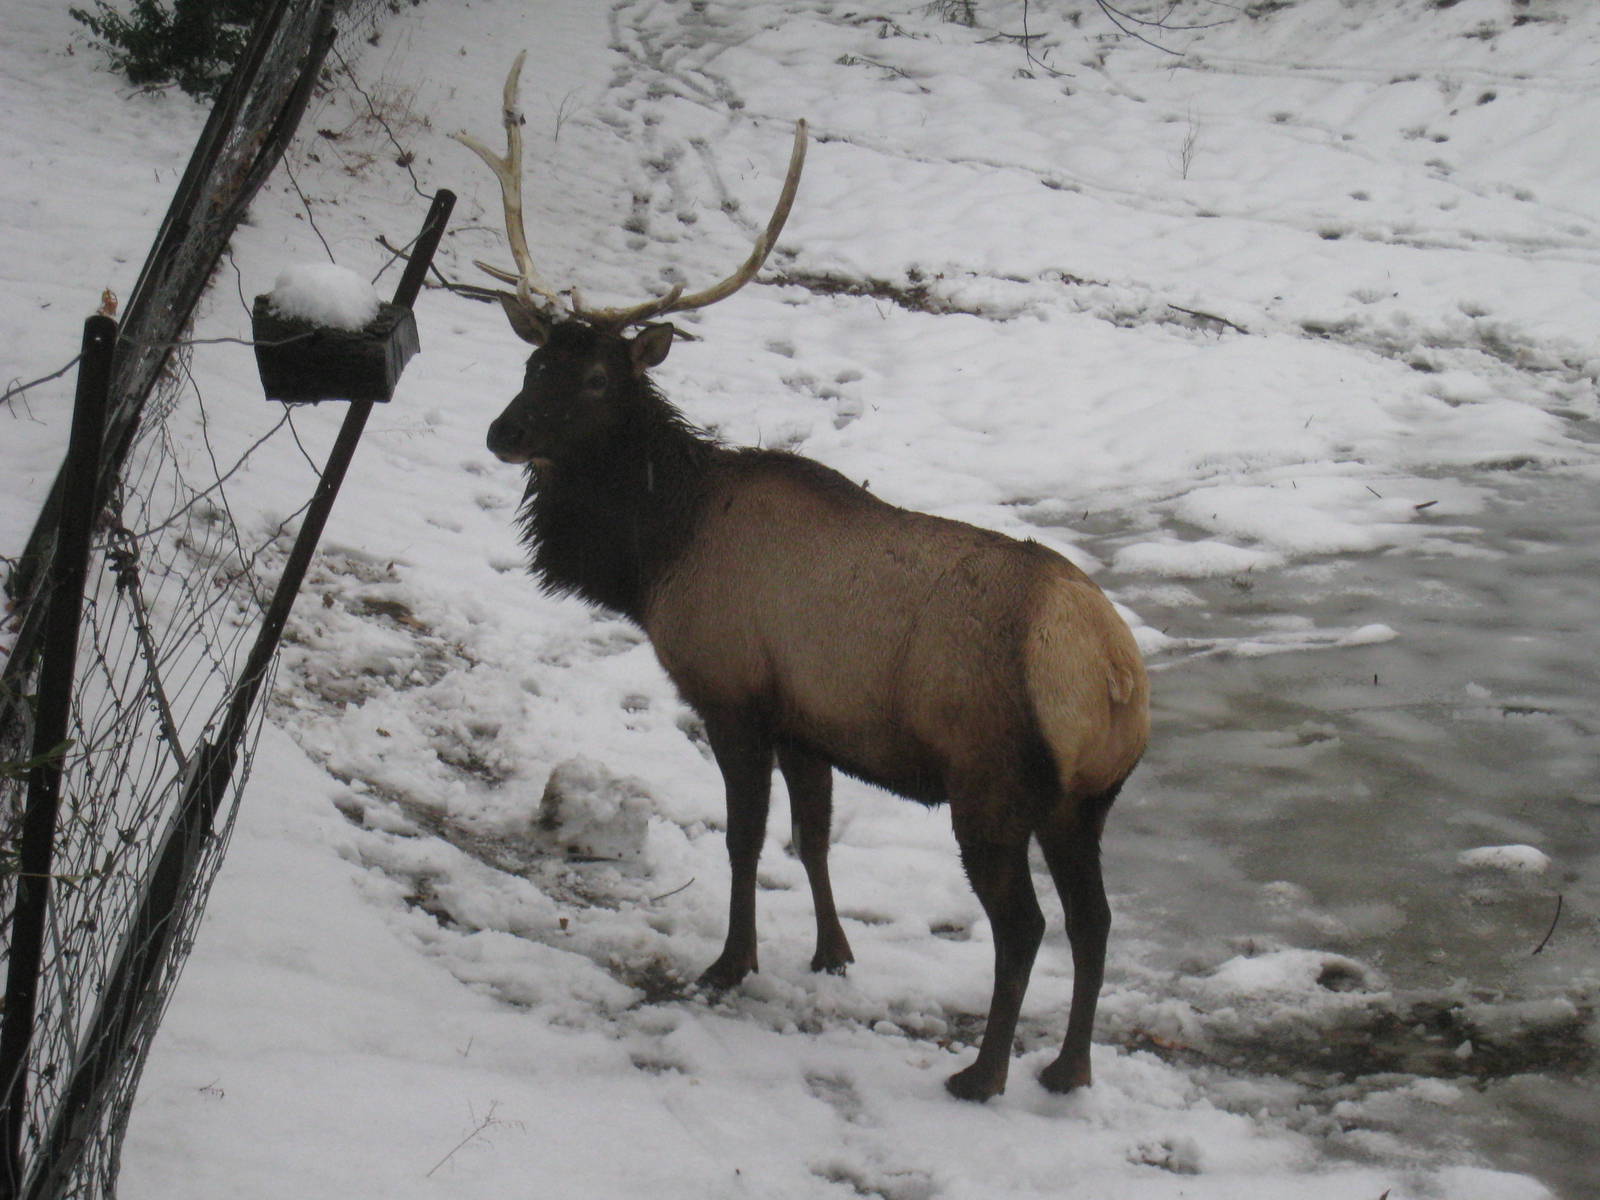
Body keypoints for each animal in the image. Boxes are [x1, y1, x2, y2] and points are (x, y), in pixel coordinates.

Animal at [455, 53, 1150, 1102]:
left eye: (599, 378)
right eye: (536, 360)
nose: (503, 432)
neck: (657, 553)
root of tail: (1111, 676)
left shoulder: (732, 691)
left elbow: (744, 838)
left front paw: (729, 963)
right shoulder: (809, 720)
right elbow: (813, 837)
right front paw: (831, 953)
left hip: (991, 783)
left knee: (1025, 925)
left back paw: (982, 1072)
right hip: (1086, 801)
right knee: (1095, 920)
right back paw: (1068, 1069)